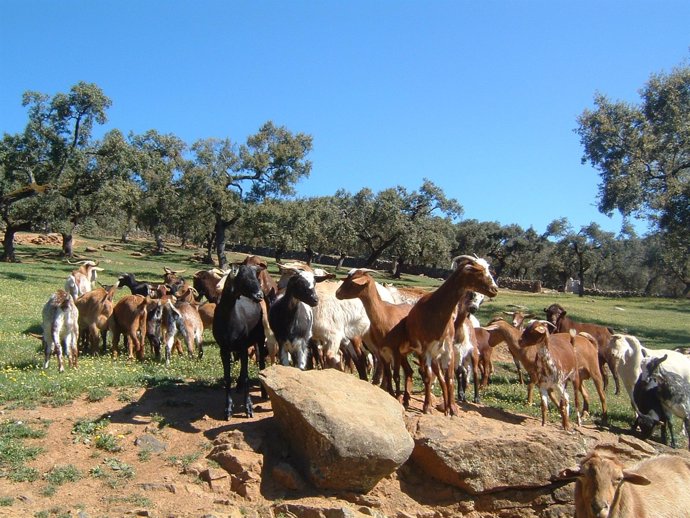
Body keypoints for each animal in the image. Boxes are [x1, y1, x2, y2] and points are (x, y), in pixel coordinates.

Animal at [211, 266, 264, 420]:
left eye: (257, 277)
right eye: (243, 278)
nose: (259, 295)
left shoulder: (243, 346)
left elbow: (246, 377)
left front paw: (249, 408)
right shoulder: (224, 349)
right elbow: (227, 378)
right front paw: (228, 409)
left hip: (259, 337)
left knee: (261, 362)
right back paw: (239, 386)